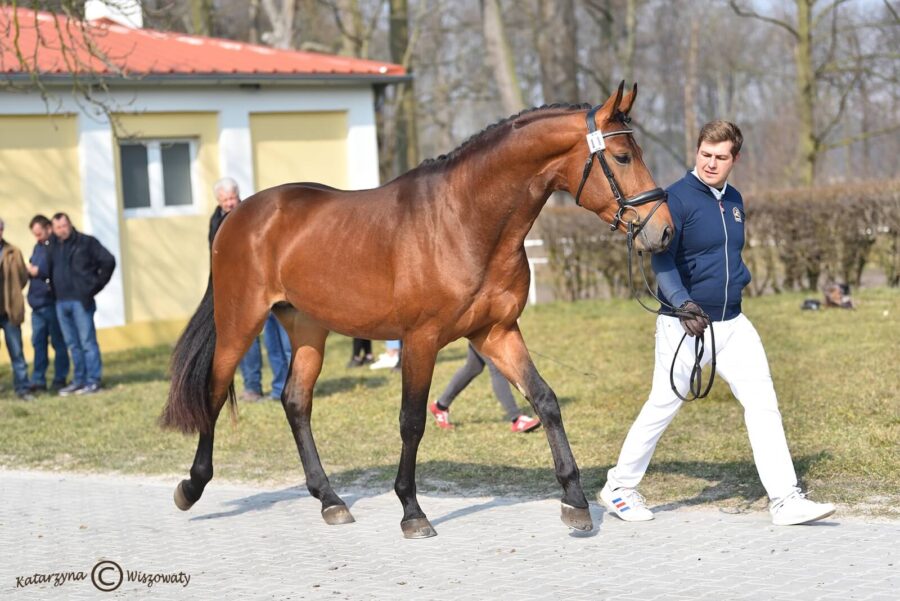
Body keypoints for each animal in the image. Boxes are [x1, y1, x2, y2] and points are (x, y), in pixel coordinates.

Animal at [162, 82, 672, 536]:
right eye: (623, 157)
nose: (662, 230)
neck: (464, 220)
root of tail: (238, 215)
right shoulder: (421, 340)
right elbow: (412, 421)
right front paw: (412, 511)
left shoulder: (497, 332)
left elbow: (545, 400)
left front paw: (575, 502)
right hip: (240, 322)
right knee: (214, 391)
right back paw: (191, 486)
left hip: (307, 328)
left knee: (296, 401)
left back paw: (330, 500)